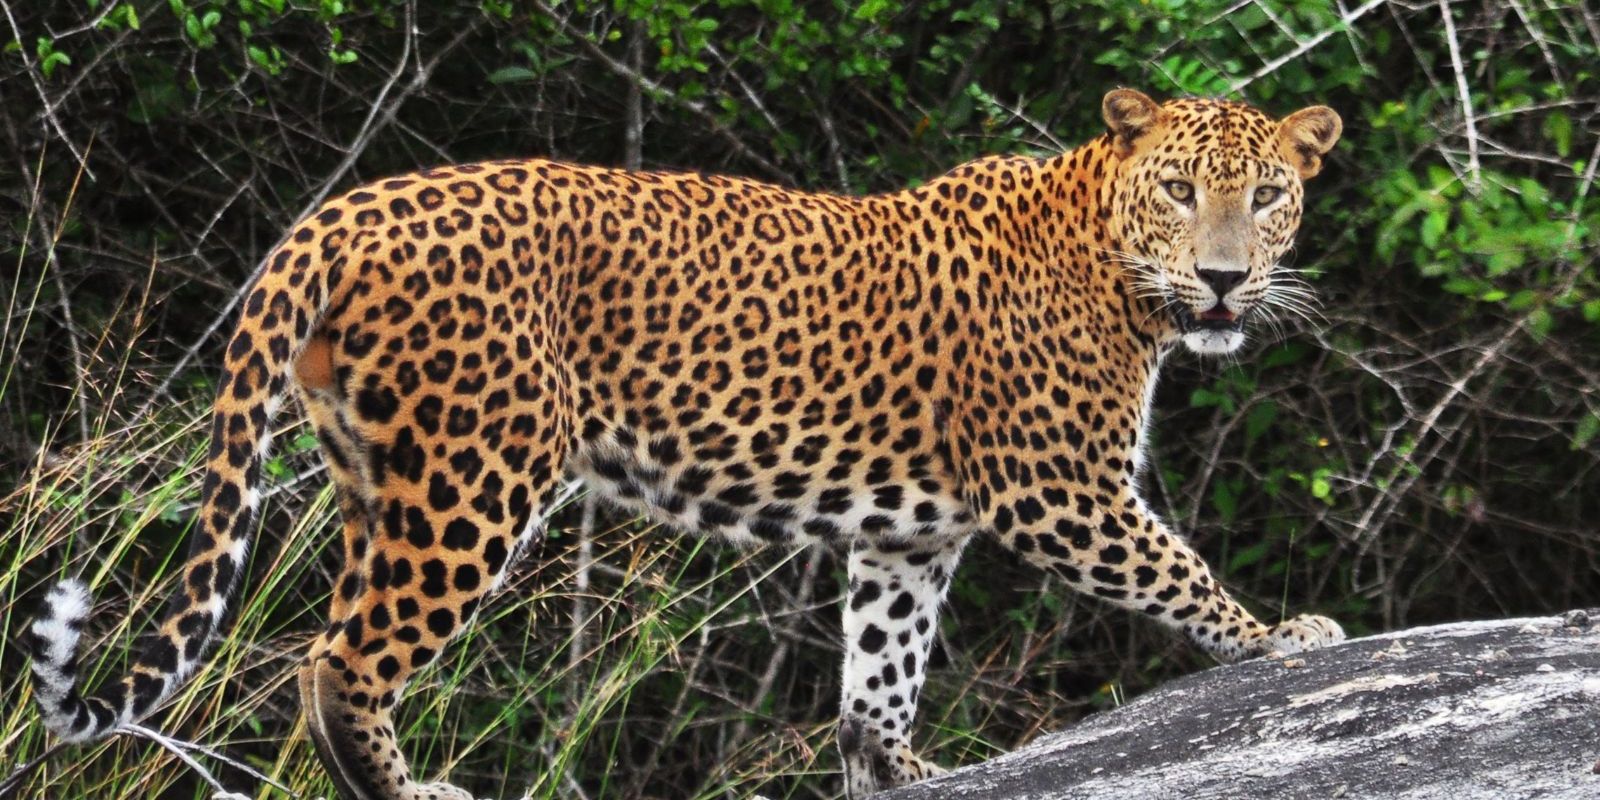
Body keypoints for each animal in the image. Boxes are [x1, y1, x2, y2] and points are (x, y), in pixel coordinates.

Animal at [26, 88, 1345, 799]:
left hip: (374, 476)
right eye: (1178, 190)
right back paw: (410, 785)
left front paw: (893, 767)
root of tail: (345, 208)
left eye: (1268, 194)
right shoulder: (1060, 486)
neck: (1121, 270)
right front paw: (1284, 636)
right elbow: (1178, 570)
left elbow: (881, 660)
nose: (1224, 279)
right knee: (340, 657)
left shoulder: (912, 534)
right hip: (475, 474)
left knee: (333, 639)